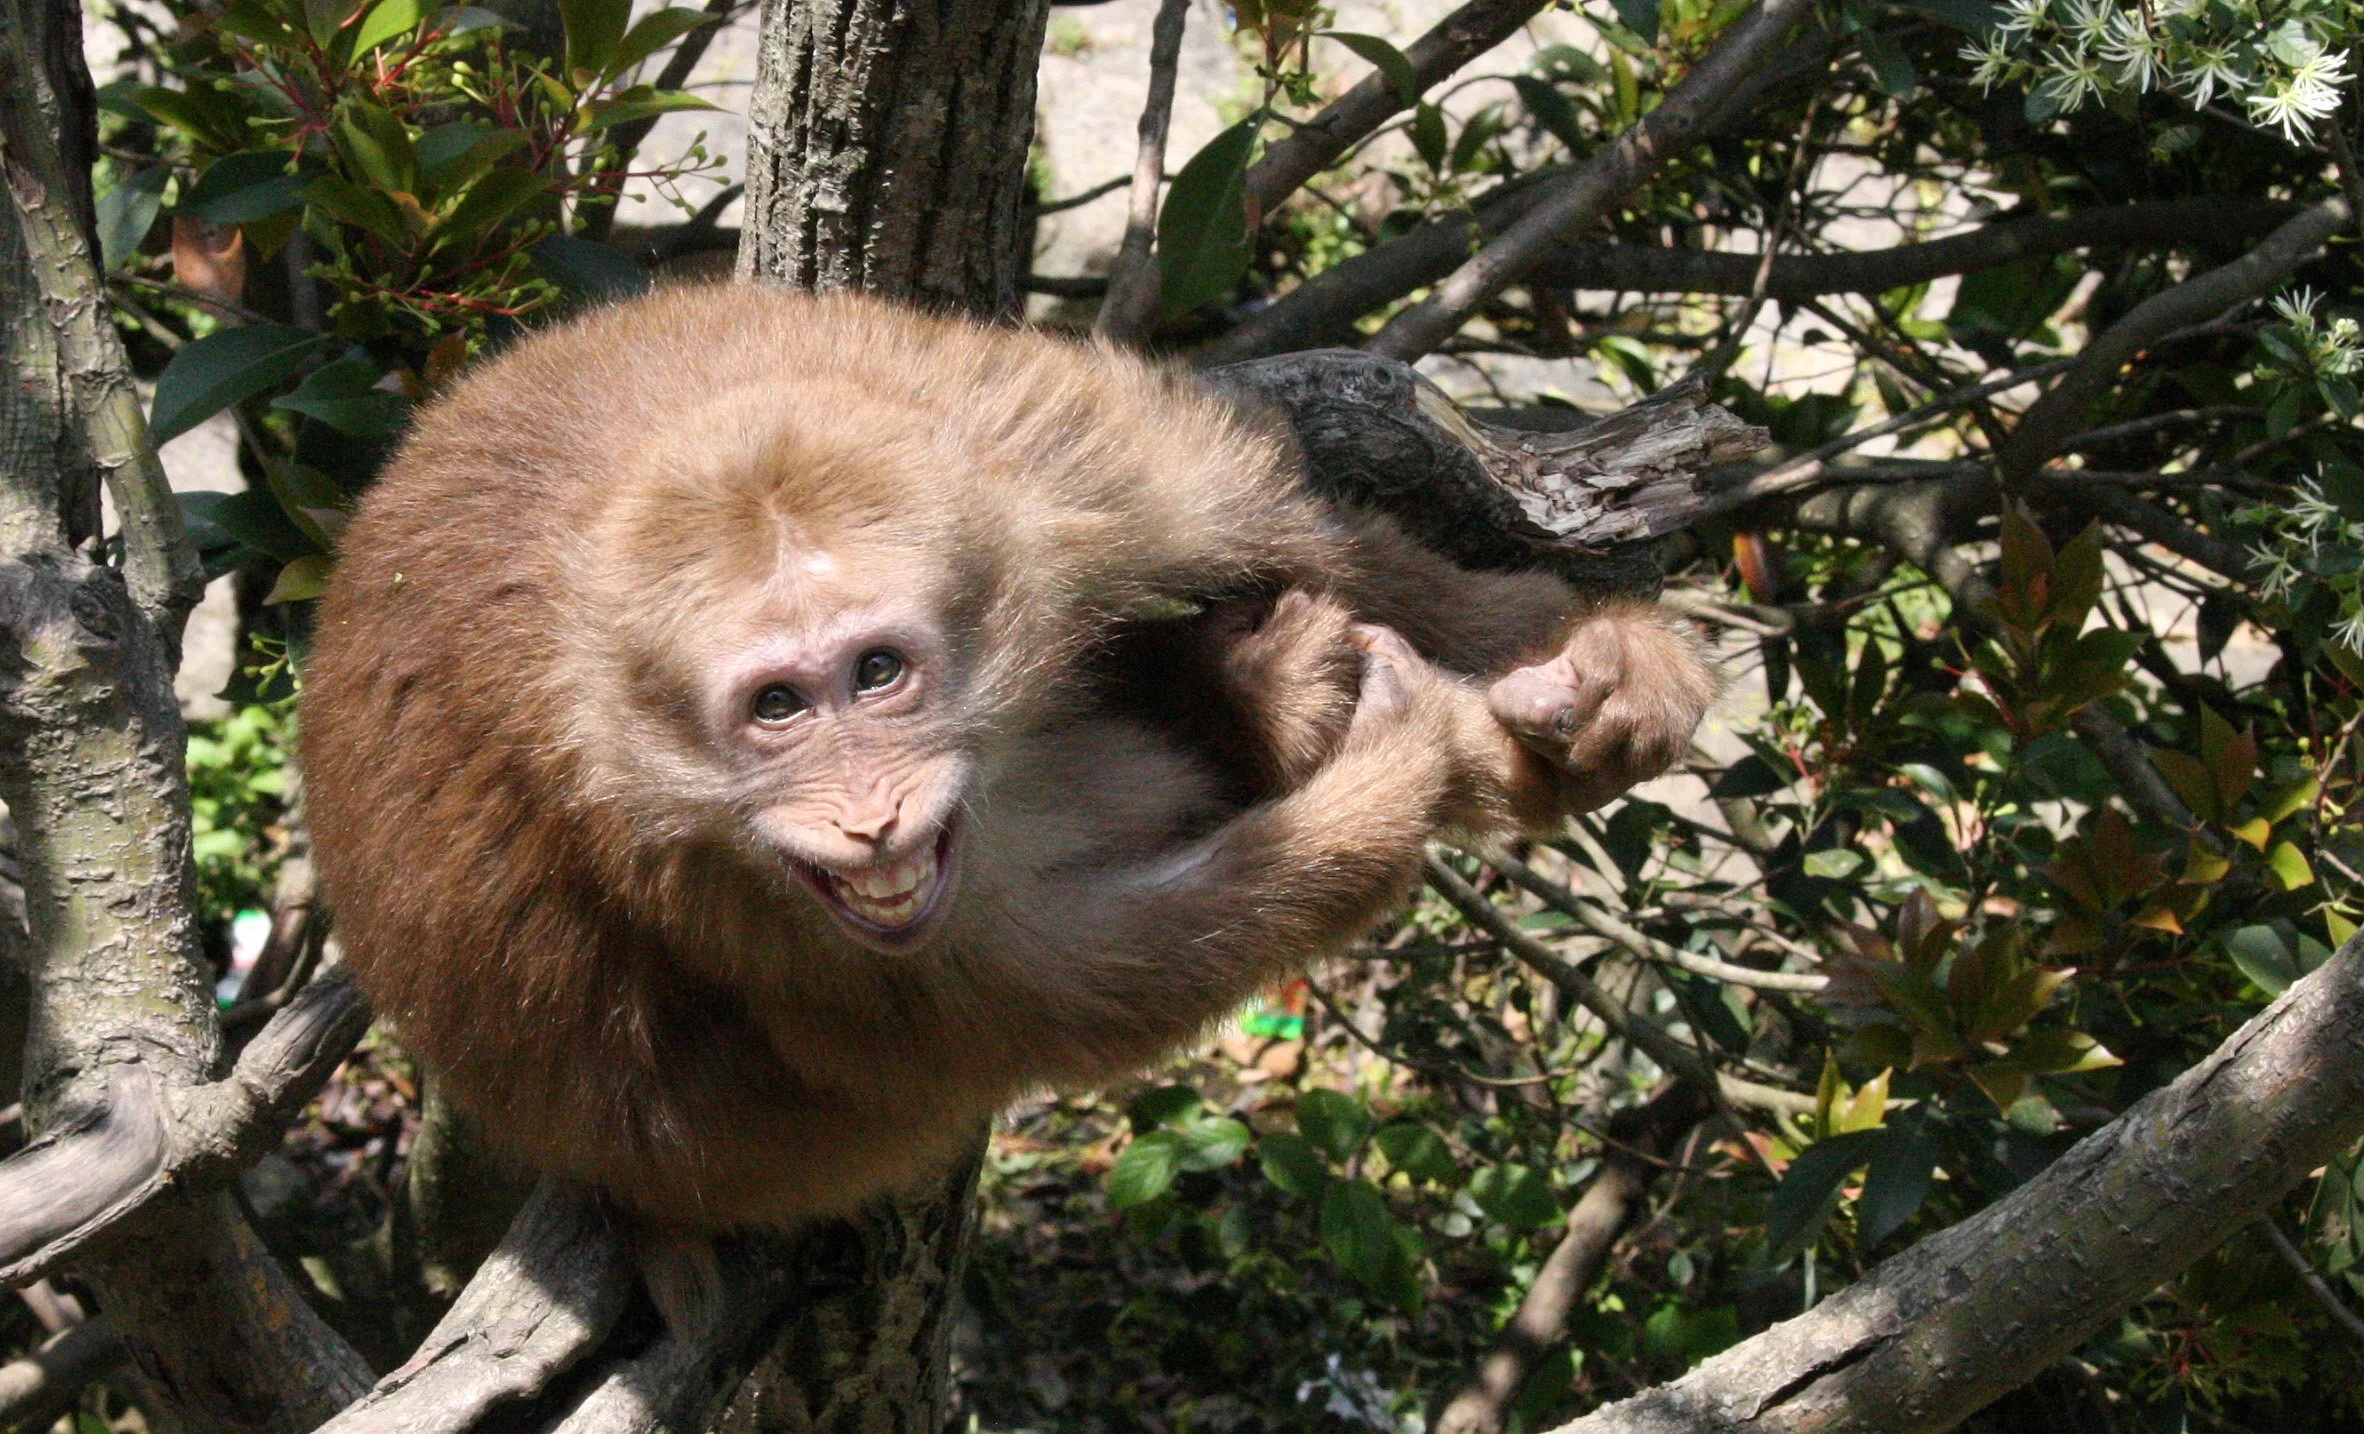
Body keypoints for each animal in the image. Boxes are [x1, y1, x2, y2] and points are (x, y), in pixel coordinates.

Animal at [298, 285, 1716, 1236]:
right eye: (776, 708)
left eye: (878, 673)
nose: (869, 818)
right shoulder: (662, 842)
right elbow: (1037, 987)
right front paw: (1399, 766)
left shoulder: (1057, 470)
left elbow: (1300, 537)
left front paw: (1585, 671)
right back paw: (1281, 706)